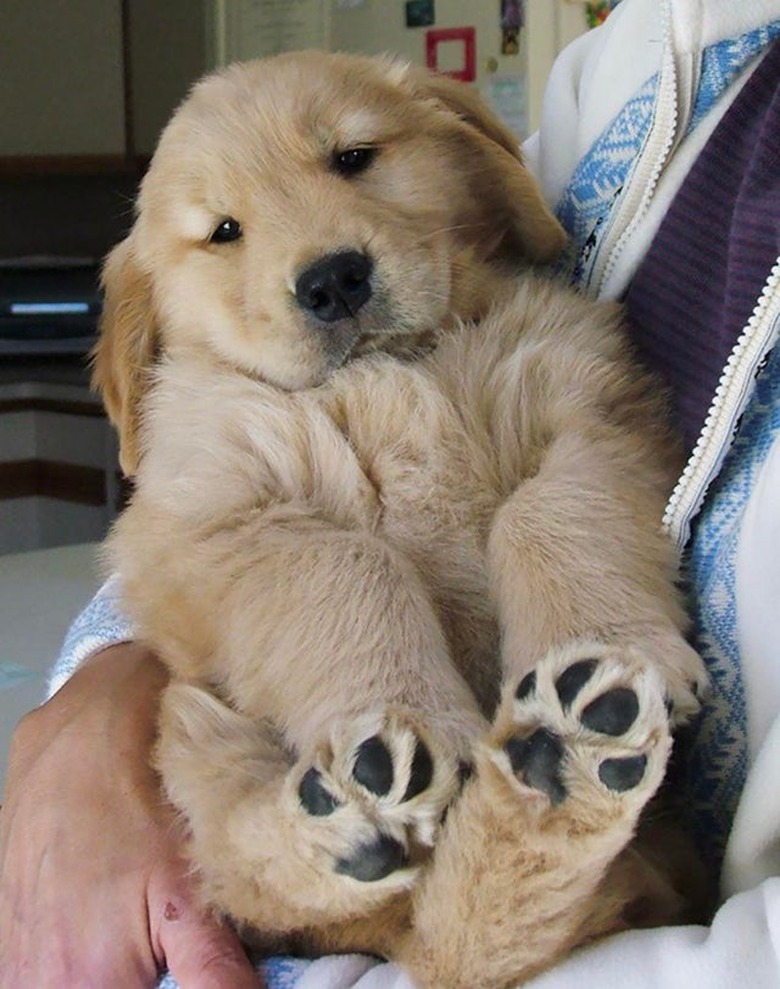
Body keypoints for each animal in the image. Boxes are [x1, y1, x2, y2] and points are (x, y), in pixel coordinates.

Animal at [94, 52, 708, 988]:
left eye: (354, 157)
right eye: (224, 230)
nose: (332, 280)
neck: (388, 371)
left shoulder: (589, 409)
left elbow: (544, 509)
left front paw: (610, 641)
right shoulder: (207, 514)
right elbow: (348, 558)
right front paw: (405, 712)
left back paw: (563, 748)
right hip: (193, 725)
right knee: (289, 879)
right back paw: (360, 810)